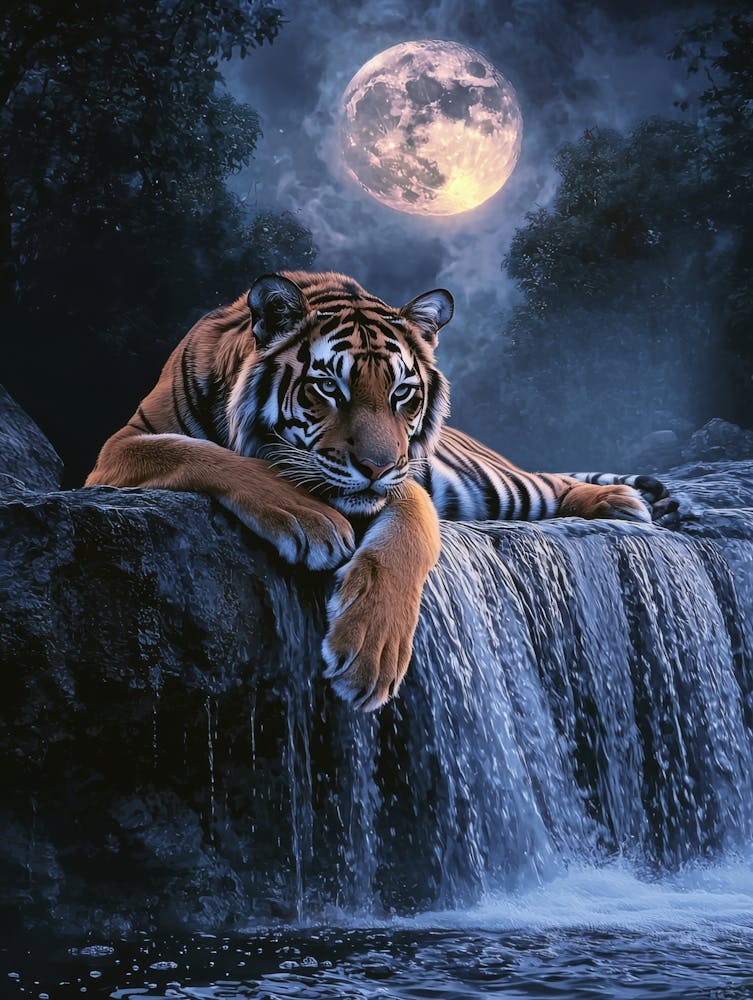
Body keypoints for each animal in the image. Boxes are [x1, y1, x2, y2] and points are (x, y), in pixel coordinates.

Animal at [86, 270, 674, 711]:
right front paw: (311, 519)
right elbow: (199, 452)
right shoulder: (120, 445)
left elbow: (405, 537)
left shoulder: (406, 482)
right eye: (328, 386)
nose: (378, 466)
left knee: (550, 482)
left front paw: (373, 648)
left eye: (402, 393)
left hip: (499, 485)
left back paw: (623, 501)